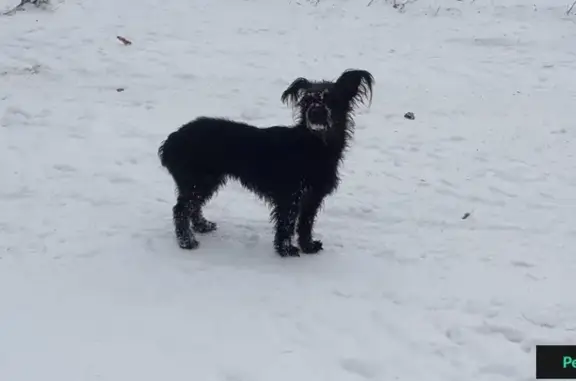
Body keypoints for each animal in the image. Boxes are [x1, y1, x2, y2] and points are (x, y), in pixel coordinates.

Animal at [158, 70, 374, 256]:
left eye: (331, 99)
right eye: (306, 101)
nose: (314, 113)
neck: (312, 145)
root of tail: (171, 141)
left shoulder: (312, 197)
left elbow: (306, 224)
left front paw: (308, 246)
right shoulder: (291, 196)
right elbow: (286, 224)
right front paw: (285, 250)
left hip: (206, 181)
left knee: (192, 206)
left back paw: (202, 226)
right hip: (198, 180)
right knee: (181, 209)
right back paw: (187, 241)